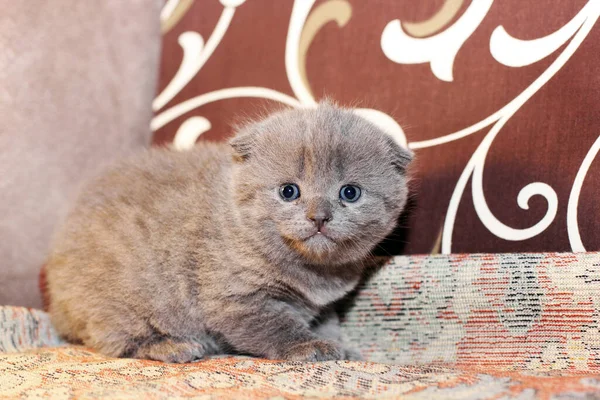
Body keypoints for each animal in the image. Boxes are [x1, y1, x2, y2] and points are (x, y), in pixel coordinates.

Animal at [45, 103, 412, 362]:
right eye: (289, 191)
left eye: (349, 193)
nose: (319, 217)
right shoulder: (235, 298)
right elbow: (277, 326)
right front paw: (310, 347)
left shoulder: (320, 306)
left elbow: (329, 322)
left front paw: (342, 348)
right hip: (120, 297)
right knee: (114, 338)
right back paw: (173, 346)